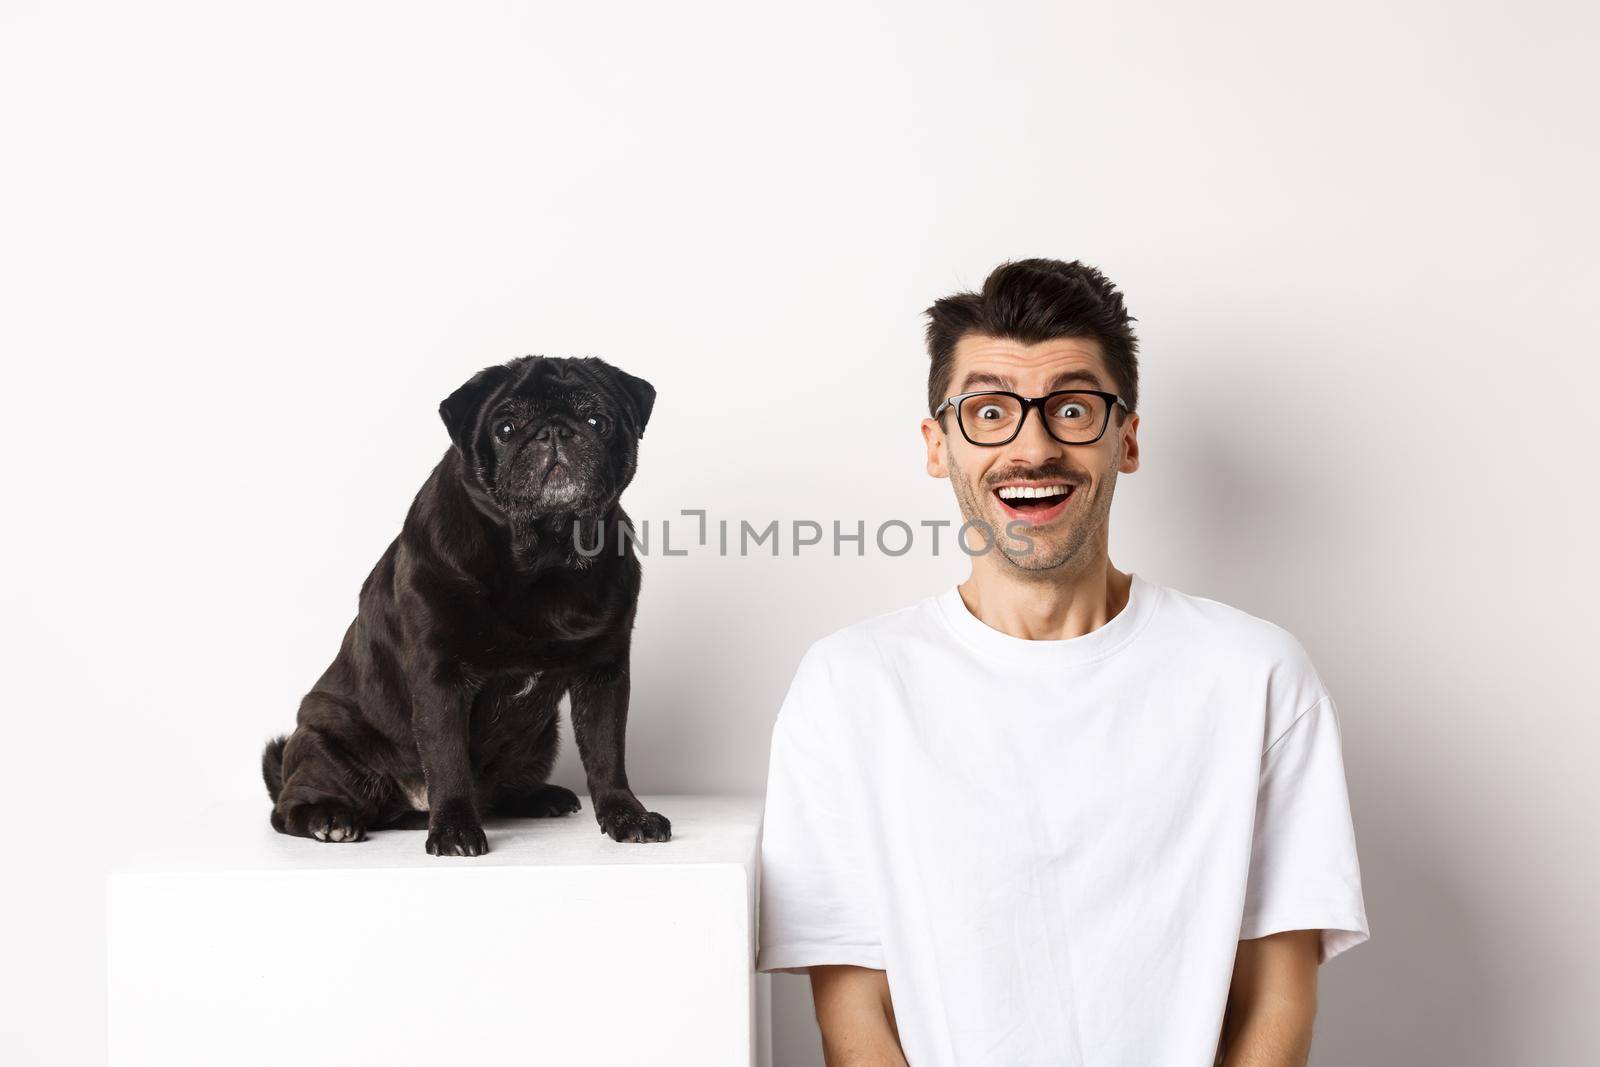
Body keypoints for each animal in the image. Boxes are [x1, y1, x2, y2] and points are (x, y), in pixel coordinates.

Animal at [260, 355, 668, 857]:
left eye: (598, 422)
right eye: (506, 428)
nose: (553, 430)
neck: (543, 556)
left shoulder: (603, 674)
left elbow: (607, 754)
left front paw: (627, 815)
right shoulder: (441, 679)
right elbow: (447, 759)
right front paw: (454, 829)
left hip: (539, 741)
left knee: (497, 793)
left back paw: (540, 797)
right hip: (327, 744)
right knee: (288, 808)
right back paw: (331, 819)